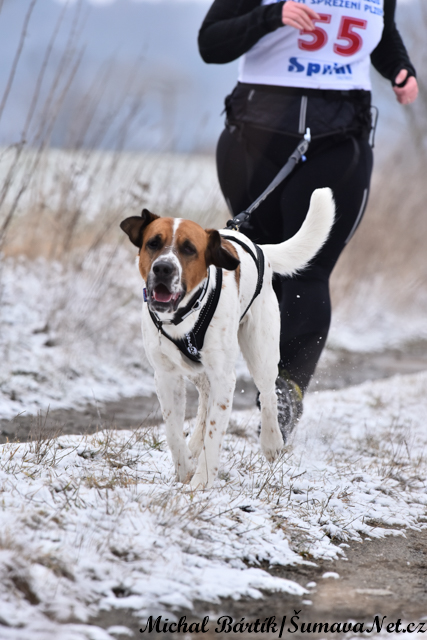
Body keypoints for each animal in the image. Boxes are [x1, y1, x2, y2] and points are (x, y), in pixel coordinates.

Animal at [120, 188, 334, 490]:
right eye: (153, 243)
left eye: (189, 249)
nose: (163, 268)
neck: (184, 315)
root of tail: (258, 247)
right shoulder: (166, 375)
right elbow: (173, 429)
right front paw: (185, 469)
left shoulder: (224, 377)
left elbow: (214, 434)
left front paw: (201, 482)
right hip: (199, 369)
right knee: (204, 397)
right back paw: (194, 443)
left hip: (261, 351)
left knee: (268, 393)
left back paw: (271, 441)